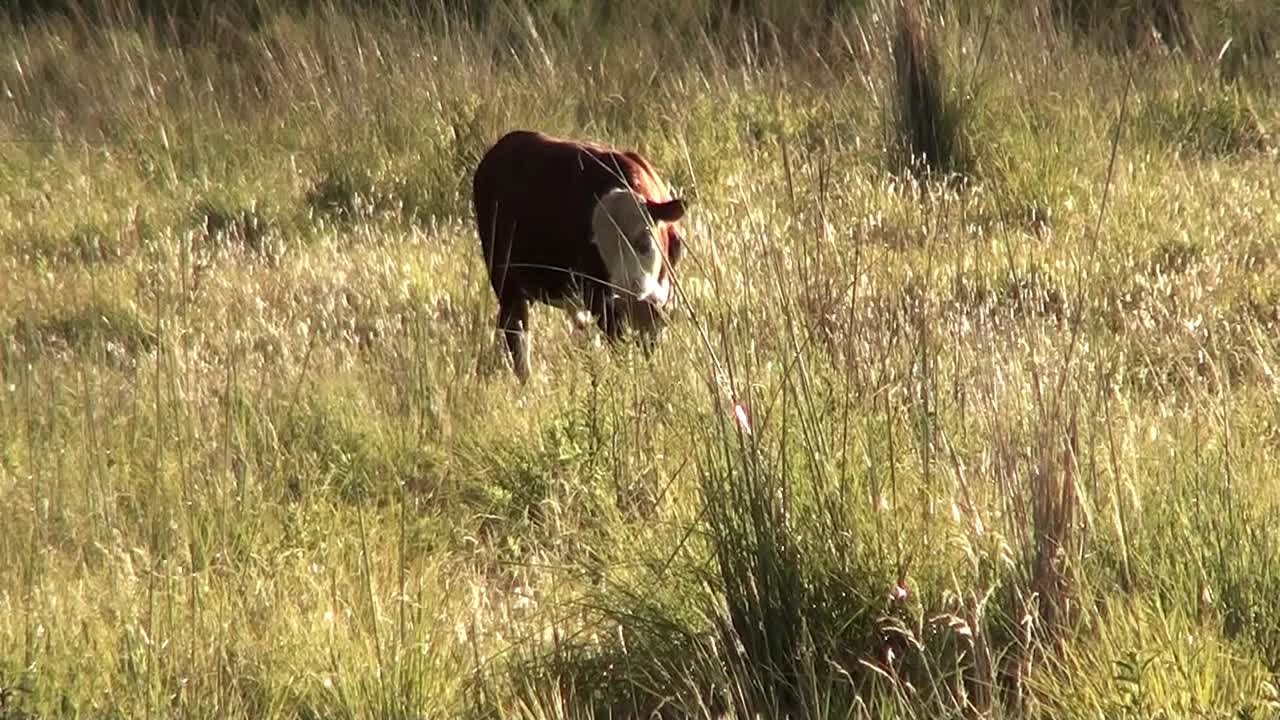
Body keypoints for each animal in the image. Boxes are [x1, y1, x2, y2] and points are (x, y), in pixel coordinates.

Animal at [473, 131, 691, 384]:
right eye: (594, 248)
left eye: (644, 241)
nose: (626, 297)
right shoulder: (602, 303)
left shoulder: (660, 301)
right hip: (506, 280)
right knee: (516, 330)